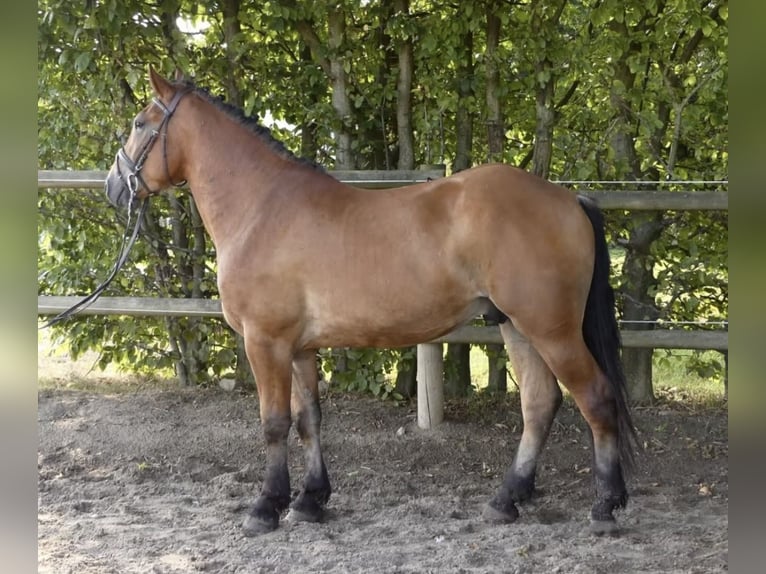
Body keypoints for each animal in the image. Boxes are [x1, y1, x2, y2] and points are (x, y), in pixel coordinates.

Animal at [105, 67, 639, 537]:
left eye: (139, 124)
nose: (114, 188)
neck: (261, 208)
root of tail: (568, 200)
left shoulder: (265, 342)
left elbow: (274, 424)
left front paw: (266, 507)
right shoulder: (299, 348)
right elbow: (308, 420)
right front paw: (310, 501)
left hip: (552, 330)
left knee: (595, 398)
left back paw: (605, 506)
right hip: (516, 325)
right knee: (539, 403)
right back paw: (506, 500)